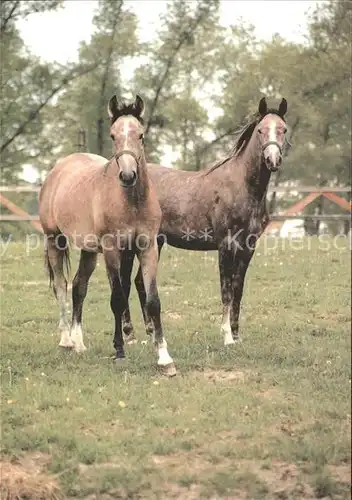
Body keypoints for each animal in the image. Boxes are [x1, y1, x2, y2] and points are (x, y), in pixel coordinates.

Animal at [38, 94, 176, 376]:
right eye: (113, 135)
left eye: (141, 134)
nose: (128, 175)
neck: (131, 201)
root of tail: (59, 169)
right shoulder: (112, 250)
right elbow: (118, 299)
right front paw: (120, 351)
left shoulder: (147, 248)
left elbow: (153, 301)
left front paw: (164, 358)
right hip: (54, 240)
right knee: (61, 286)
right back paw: (66, 340)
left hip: (89, 250)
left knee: (79, 286)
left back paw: (79, 343)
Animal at [123, 96, 288, 348]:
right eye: (260, 130)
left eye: (283, 129)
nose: (273, 160)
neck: (242, 186)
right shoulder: (226, 245)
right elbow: (226, 290)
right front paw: (227, 337)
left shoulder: (248, 247)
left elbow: (238, 290)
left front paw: (236, 334)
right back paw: (130, 335)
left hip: (156, 243)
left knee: (140, 283)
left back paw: (150, 333)